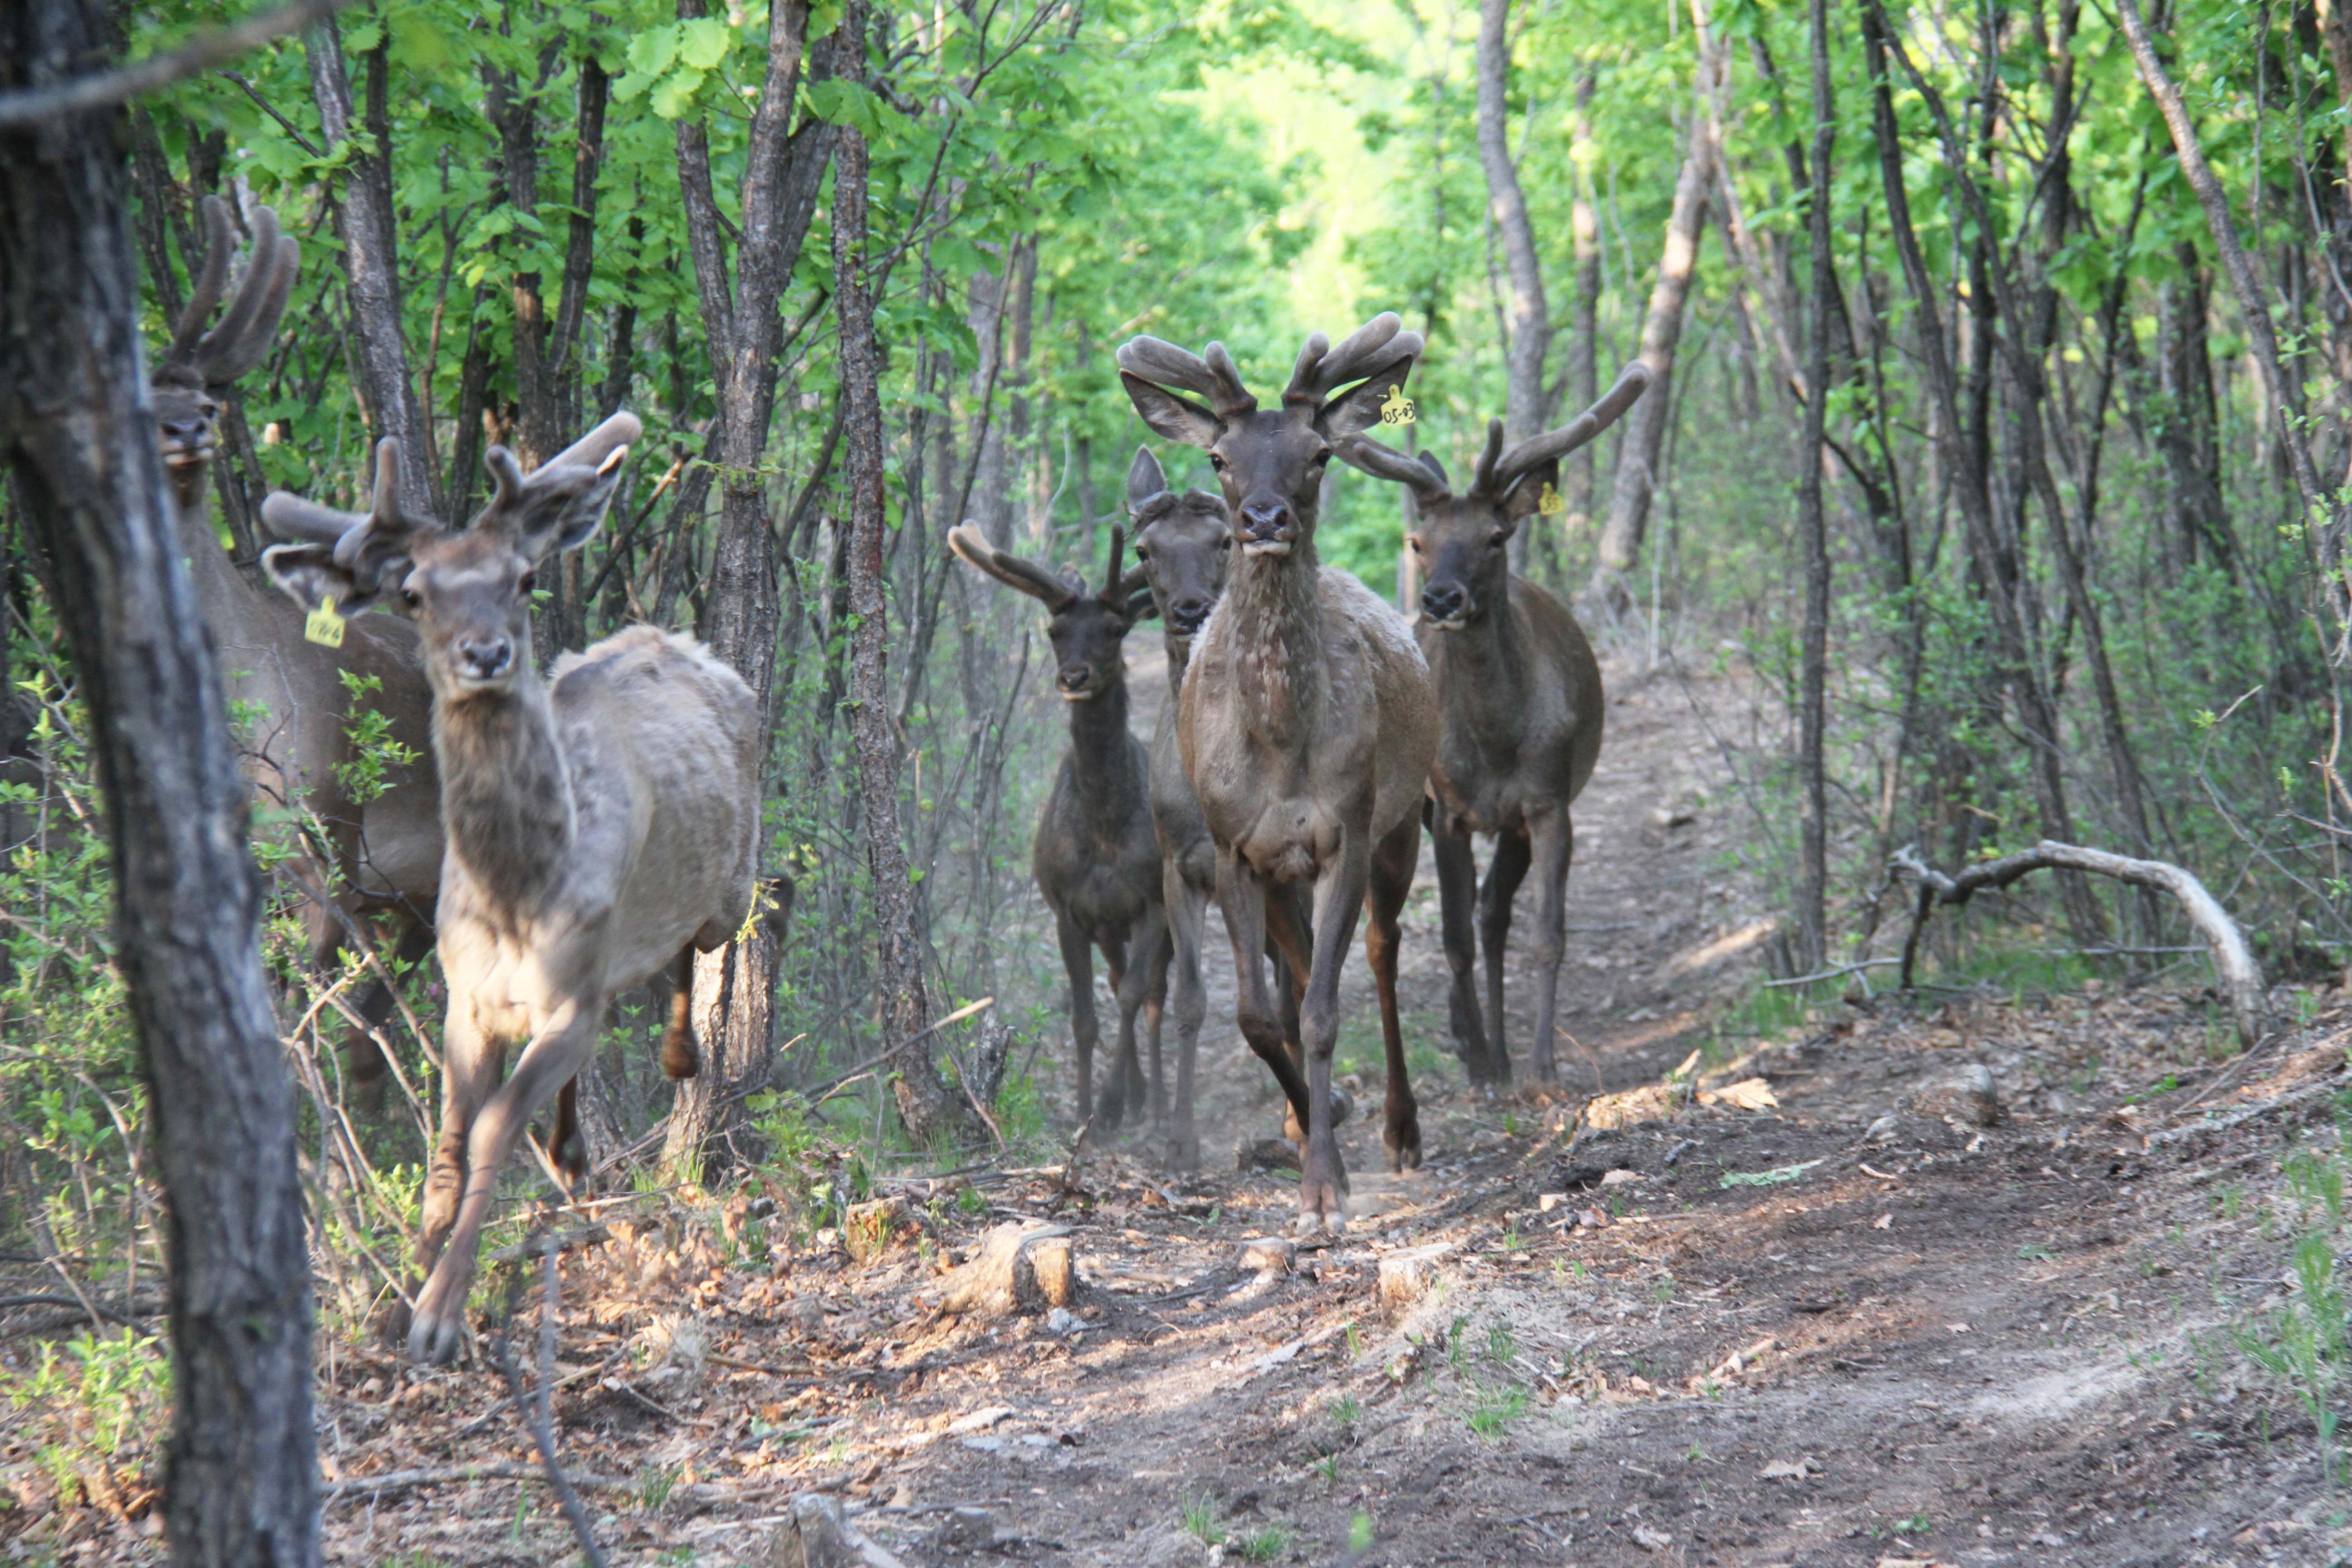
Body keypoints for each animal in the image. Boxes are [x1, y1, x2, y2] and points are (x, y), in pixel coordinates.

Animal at [152, 192, 444, 1105]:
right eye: (140, 400)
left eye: (211, 405)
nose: (183, 429)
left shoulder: (334, 825)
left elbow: (302, 1004)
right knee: (371, 1033)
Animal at [265, 416, 762, 1363]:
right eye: (413, 592)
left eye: (523, 578)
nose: (486, 653)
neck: (514, 897)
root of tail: (674, 639)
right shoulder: (468, 998)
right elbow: (451, 1142)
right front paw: (398, 1296)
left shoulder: (571, 996)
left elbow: (495, 1127)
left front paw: (438, 1314)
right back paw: (571, 1151)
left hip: (729, 889)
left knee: (704, 944)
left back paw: (677, 1056)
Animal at [945, 522, 1166, 1133]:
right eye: (1054, 630)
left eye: (1116, 629)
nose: (1074, 676)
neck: (1105, 829)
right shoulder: (1069, 908)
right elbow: (1085, 1019)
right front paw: (1090, 1113)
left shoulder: (1151, 899)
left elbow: (1133, 996)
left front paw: (1111, 1104)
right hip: (1107, 927)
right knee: (1118, 981)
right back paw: (1138, 1096)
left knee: (1155, 993)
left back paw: (1156, 1102)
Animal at [1115, 313, 1439, 1232]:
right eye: (1220, 457)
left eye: (1319, 451)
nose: (1264, 517)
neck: (1281, 751)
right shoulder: (1232, 851)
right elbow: (1258, 1017)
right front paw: (1307, 1136)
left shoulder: (1345, 831)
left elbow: (1323, 1013)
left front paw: (1325, 1186)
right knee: (1295, 975)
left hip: (1401, 825)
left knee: (1381, 953)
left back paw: (1401, 1129)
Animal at [1345, 362, 1656, 1086]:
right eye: (1419, 542)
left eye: (1495, 537)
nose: (1441, 598)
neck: (1496, 743)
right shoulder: (1451, 812)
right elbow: (1453, 938)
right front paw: (1484, 1067)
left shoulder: (1547, 802)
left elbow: (1545, 936)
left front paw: (1539, 1065)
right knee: (1472, 921)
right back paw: (1474, 1042)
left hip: (1514, 823)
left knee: (1494, 915)